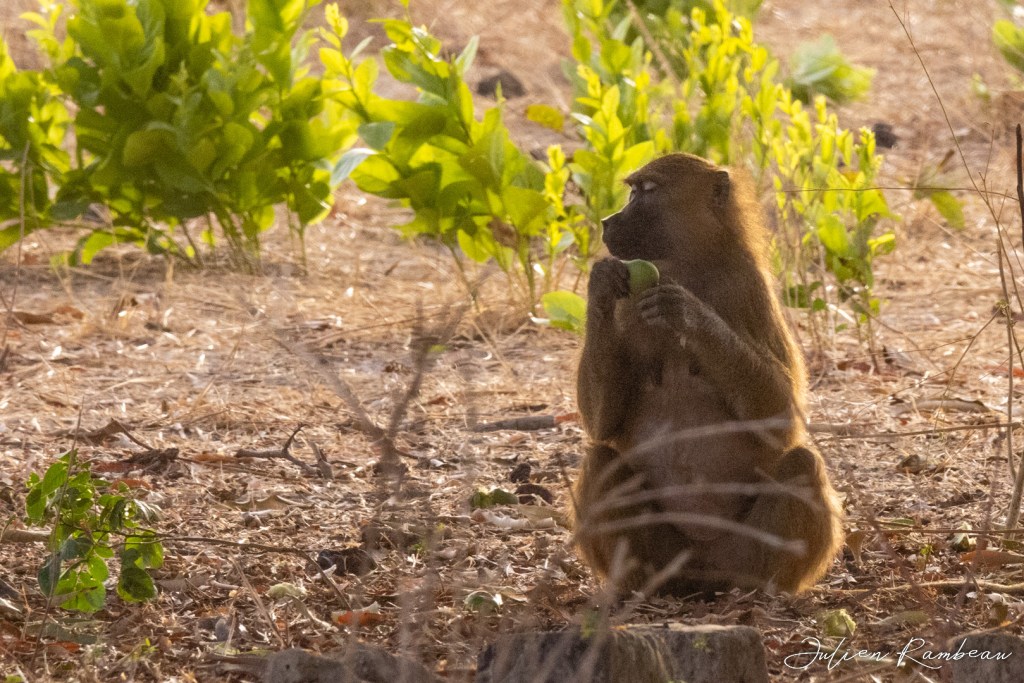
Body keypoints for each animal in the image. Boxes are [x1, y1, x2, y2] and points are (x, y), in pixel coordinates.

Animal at [570, 153, 843, 596]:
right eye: (633, 190)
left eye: (645, 191)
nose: (608, 222)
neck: (687, 264)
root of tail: (703, 571)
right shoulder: (630, 302)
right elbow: (603, 423)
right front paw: (601, 284)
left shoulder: (748, 286)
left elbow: (782, 421)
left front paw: (690, 315)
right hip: (667, 555)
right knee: (601, 460)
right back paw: (634, 588)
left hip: (741, 554)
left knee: (801, 463)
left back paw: (768, 590)